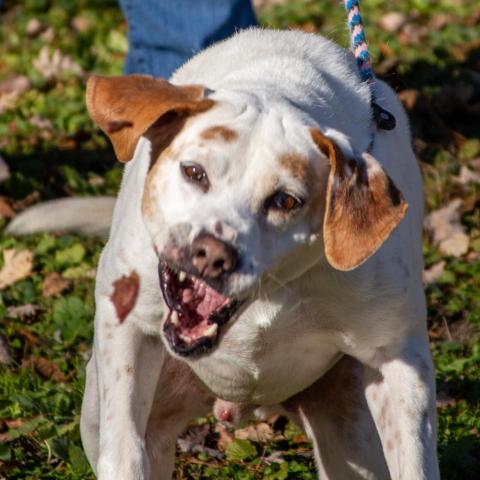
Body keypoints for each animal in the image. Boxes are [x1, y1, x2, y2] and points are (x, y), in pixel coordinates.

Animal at [9, 28, 440, 478]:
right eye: (194, 172)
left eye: (286, 200)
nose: (212, 254)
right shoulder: (126, 324)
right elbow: (124, 447)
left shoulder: (397, 359)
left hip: (352, 435)